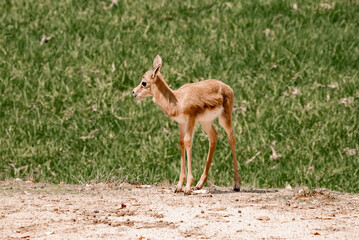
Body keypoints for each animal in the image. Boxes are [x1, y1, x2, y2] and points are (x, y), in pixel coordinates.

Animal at [133, 55, 242, 194]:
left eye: (144, 82)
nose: (133, 92)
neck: (178, 100)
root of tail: (227, 87)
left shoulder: (191, 119)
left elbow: (188, 141)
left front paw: (187, 187)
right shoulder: (182, 123)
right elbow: (181, 142)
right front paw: (179, 186)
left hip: (224, 118)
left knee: (231, 138)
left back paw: (236, 185)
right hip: (206, 121)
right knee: (214, 136)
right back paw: (199, 184)